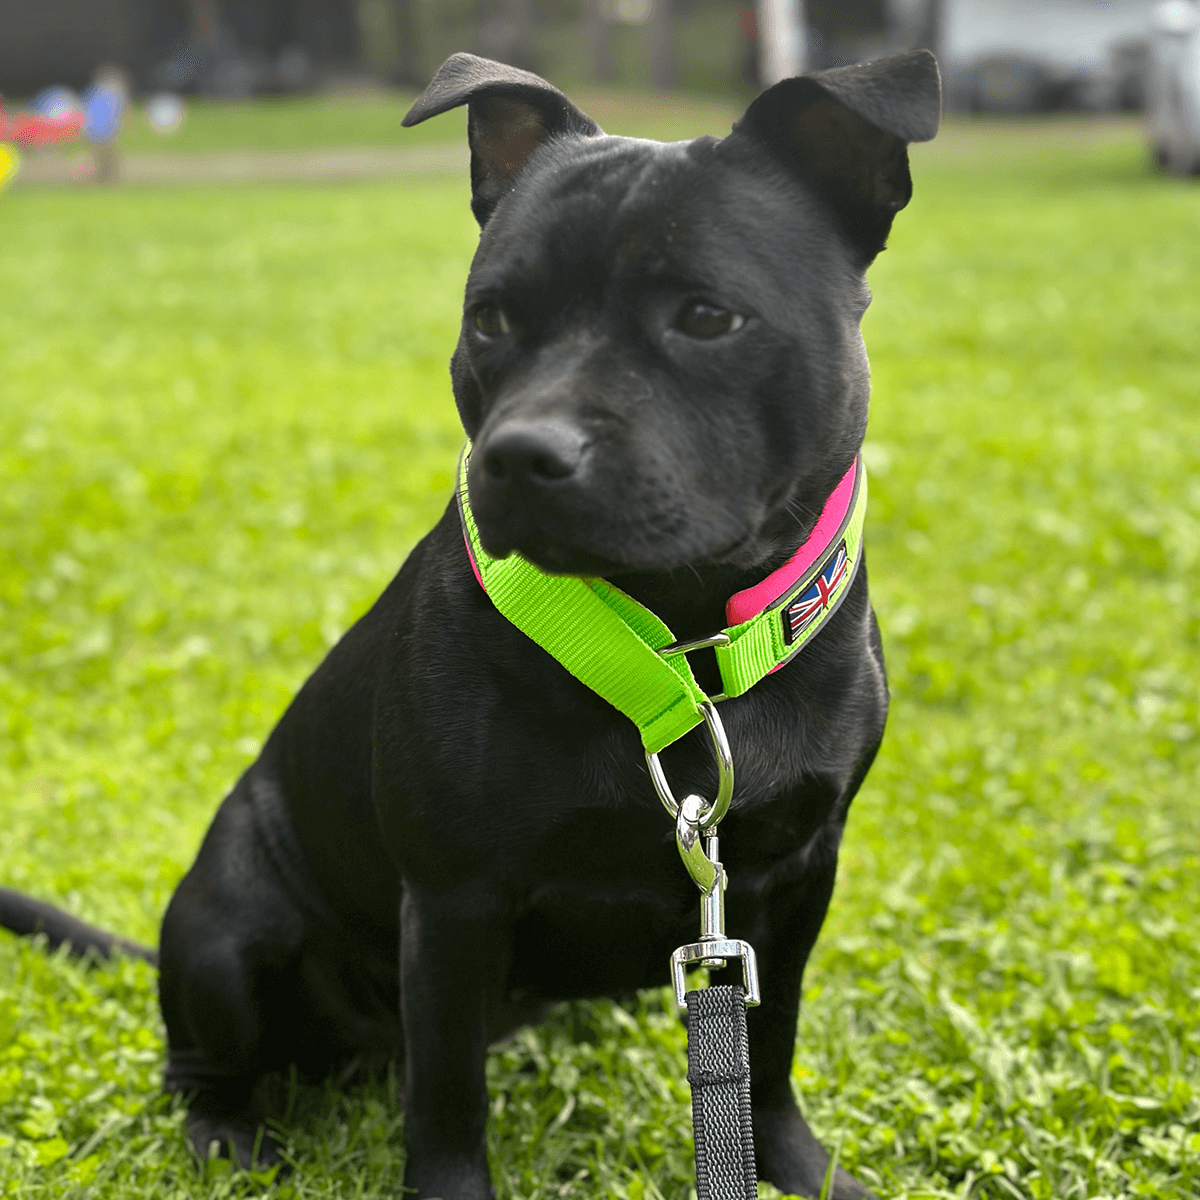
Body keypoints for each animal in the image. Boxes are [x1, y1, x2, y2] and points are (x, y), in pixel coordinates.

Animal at [0, 51, 936, 1200]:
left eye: (708, 316)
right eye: (490, 318)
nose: (525, 453)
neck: (678, 647)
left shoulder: (798, 875)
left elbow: (773, 1049)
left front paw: (798, 1169)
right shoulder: (452, 903)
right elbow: (447, 1098)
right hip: (228, 928)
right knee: (204, 1062)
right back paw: (228, 1135)